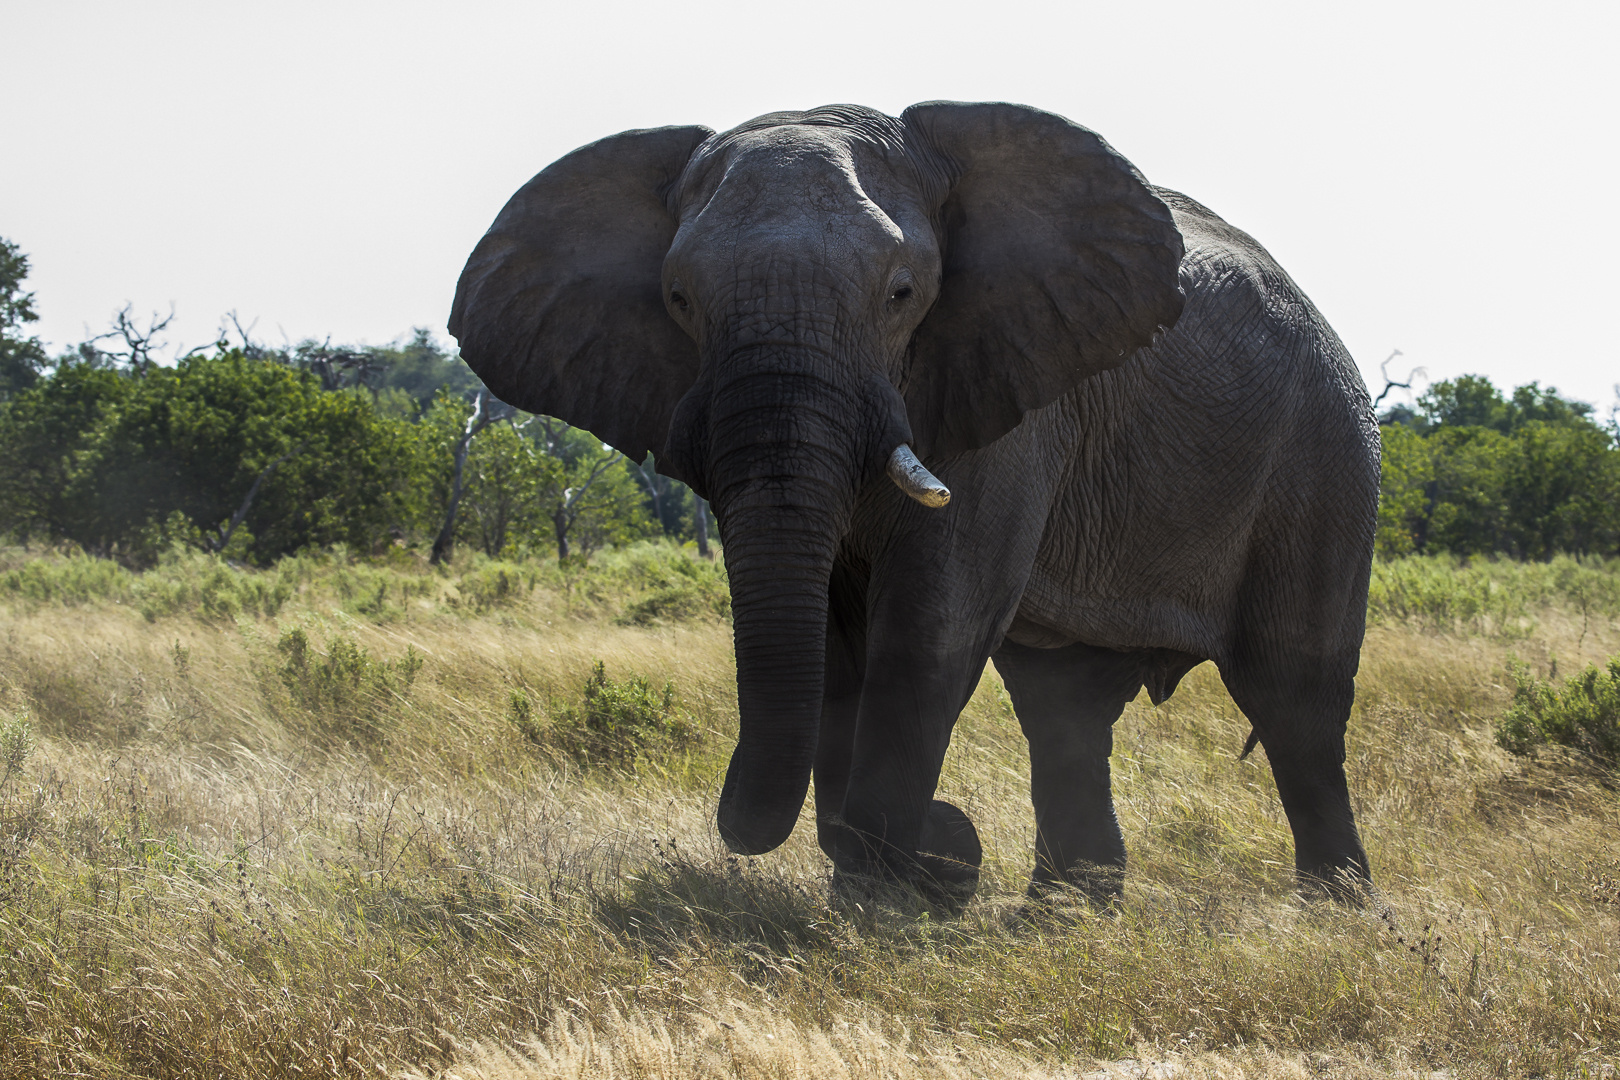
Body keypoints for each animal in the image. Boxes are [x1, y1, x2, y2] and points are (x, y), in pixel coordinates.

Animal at [447, 103, 1380, 906]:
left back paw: (1334, 918)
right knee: (1064, 706)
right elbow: (830, 639)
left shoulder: (1009, 392)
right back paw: (1066, 914)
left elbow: (930, 624)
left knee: (1294, 700)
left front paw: (891, 897)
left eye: (900, 294)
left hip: (1324, 453)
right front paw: (884, 882)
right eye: (678, 299)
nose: (955, 843)